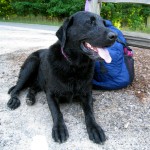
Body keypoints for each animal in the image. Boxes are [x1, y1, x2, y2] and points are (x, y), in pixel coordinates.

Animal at [7, 11, 117, 144]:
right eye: (90, 22)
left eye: (104, 23)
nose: (115, 36)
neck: (74, 66)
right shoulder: (50, 94)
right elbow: (57, 112)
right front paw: (59, 129)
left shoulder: (86, 94)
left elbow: (90, 113)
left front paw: (95, 128)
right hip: (31, 64)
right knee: (16, 88)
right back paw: (14, 100)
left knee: (32, 87)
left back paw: (30, 98)